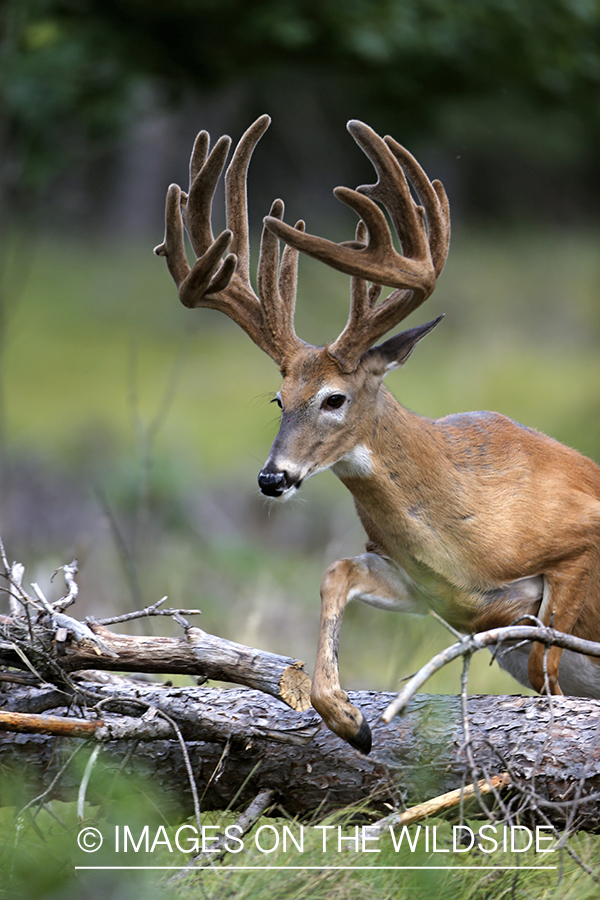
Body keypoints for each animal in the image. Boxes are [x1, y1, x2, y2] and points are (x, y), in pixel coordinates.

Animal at [156, 116, 600, 756]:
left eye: (333, 398)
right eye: (279, 399)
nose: (272, 478)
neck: (465, 530)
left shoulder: (577, 544)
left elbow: (549, 672)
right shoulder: (425, 588)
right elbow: (334, 572)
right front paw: (350, 721)